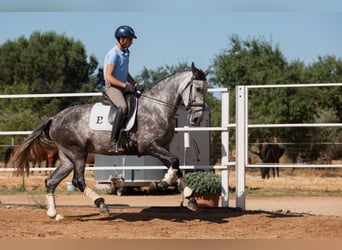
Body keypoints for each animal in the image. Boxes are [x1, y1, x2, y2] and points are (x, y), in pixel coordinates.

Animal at [8, 63, 208, 220]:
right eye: (198, 89)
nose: (197, 119)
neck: (158, 108)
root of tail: (54, 118)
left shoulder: (161, 148)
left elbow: (176, 167)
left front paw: (190, 198)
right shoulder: (149, 146)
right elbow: (174, 162)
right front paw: (160, 184)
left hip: (67, 157)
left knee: (51, 181)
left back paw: (54, 214)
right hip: (78, 153)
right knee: (78, 180)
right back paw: (102, 205)